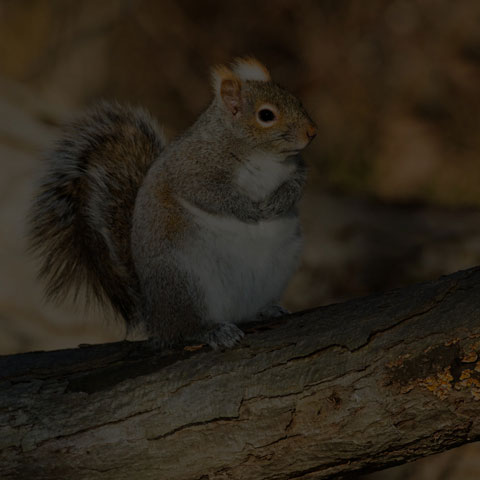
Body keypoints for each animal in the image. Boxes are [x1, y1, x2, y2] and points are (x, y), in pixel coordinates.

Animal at [28, 57, 316, 348]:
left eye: (297, 100)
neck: (262, 154)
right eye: (266, 115)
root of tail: (154, 316)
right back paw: (213, 331)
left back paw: (267, 309)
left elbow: (296, 185)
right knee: (183, 329)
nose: (311, 132)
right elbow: (211, 195)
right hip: (184, 283)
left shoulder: (298, 169)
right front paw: (250, 210)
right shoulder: (192, 169)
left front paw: (277, 203)